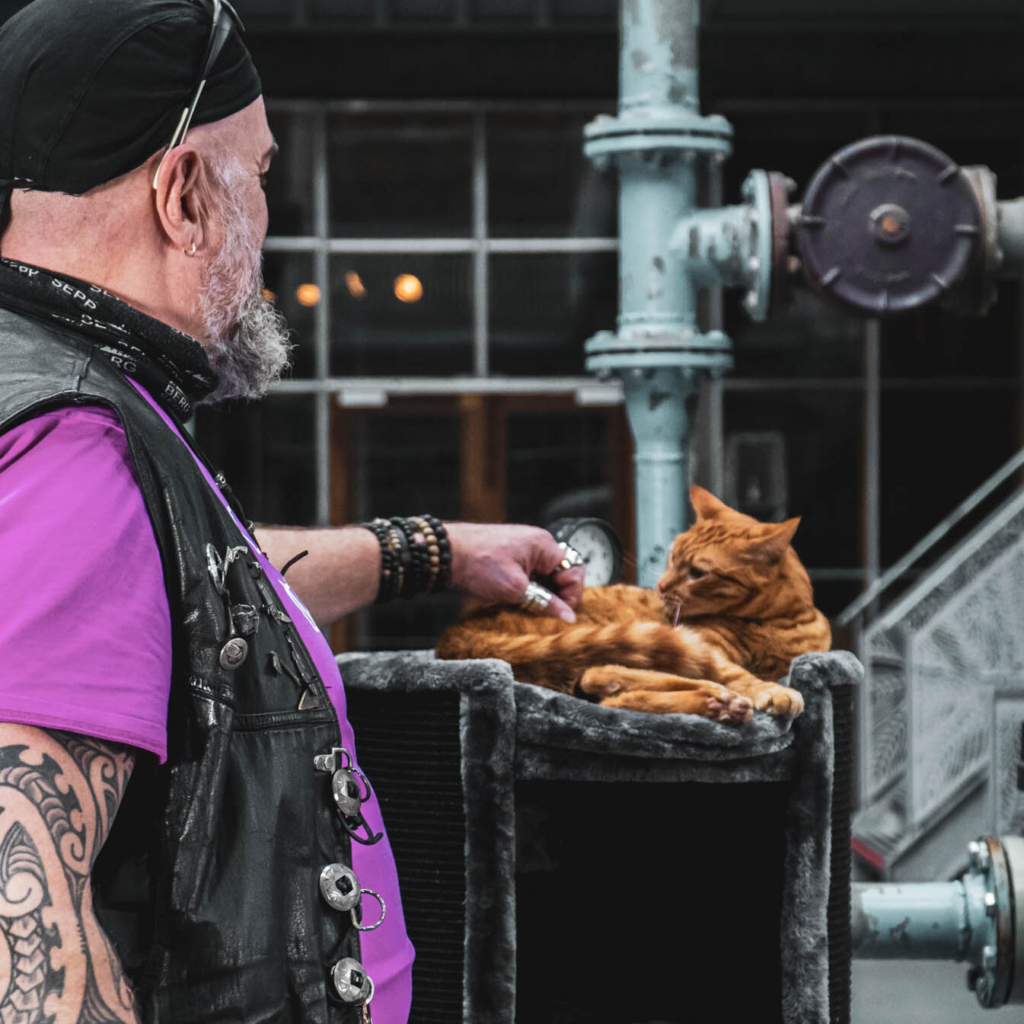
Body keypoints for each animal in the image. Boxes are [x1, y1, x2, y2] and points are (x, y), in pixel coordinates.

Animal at [434, 485, 831, 720]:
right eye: (671, 557)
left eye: (697, 572)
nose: (661, 585)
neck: (781, 620)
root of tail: (455, 634)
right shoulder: (706, 647)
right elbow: (741, 675)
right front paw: (773, 691)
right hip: (660, 643)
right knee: (606, 679)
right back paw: (719, 701)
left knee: (610, 691)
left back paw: (718, 705)